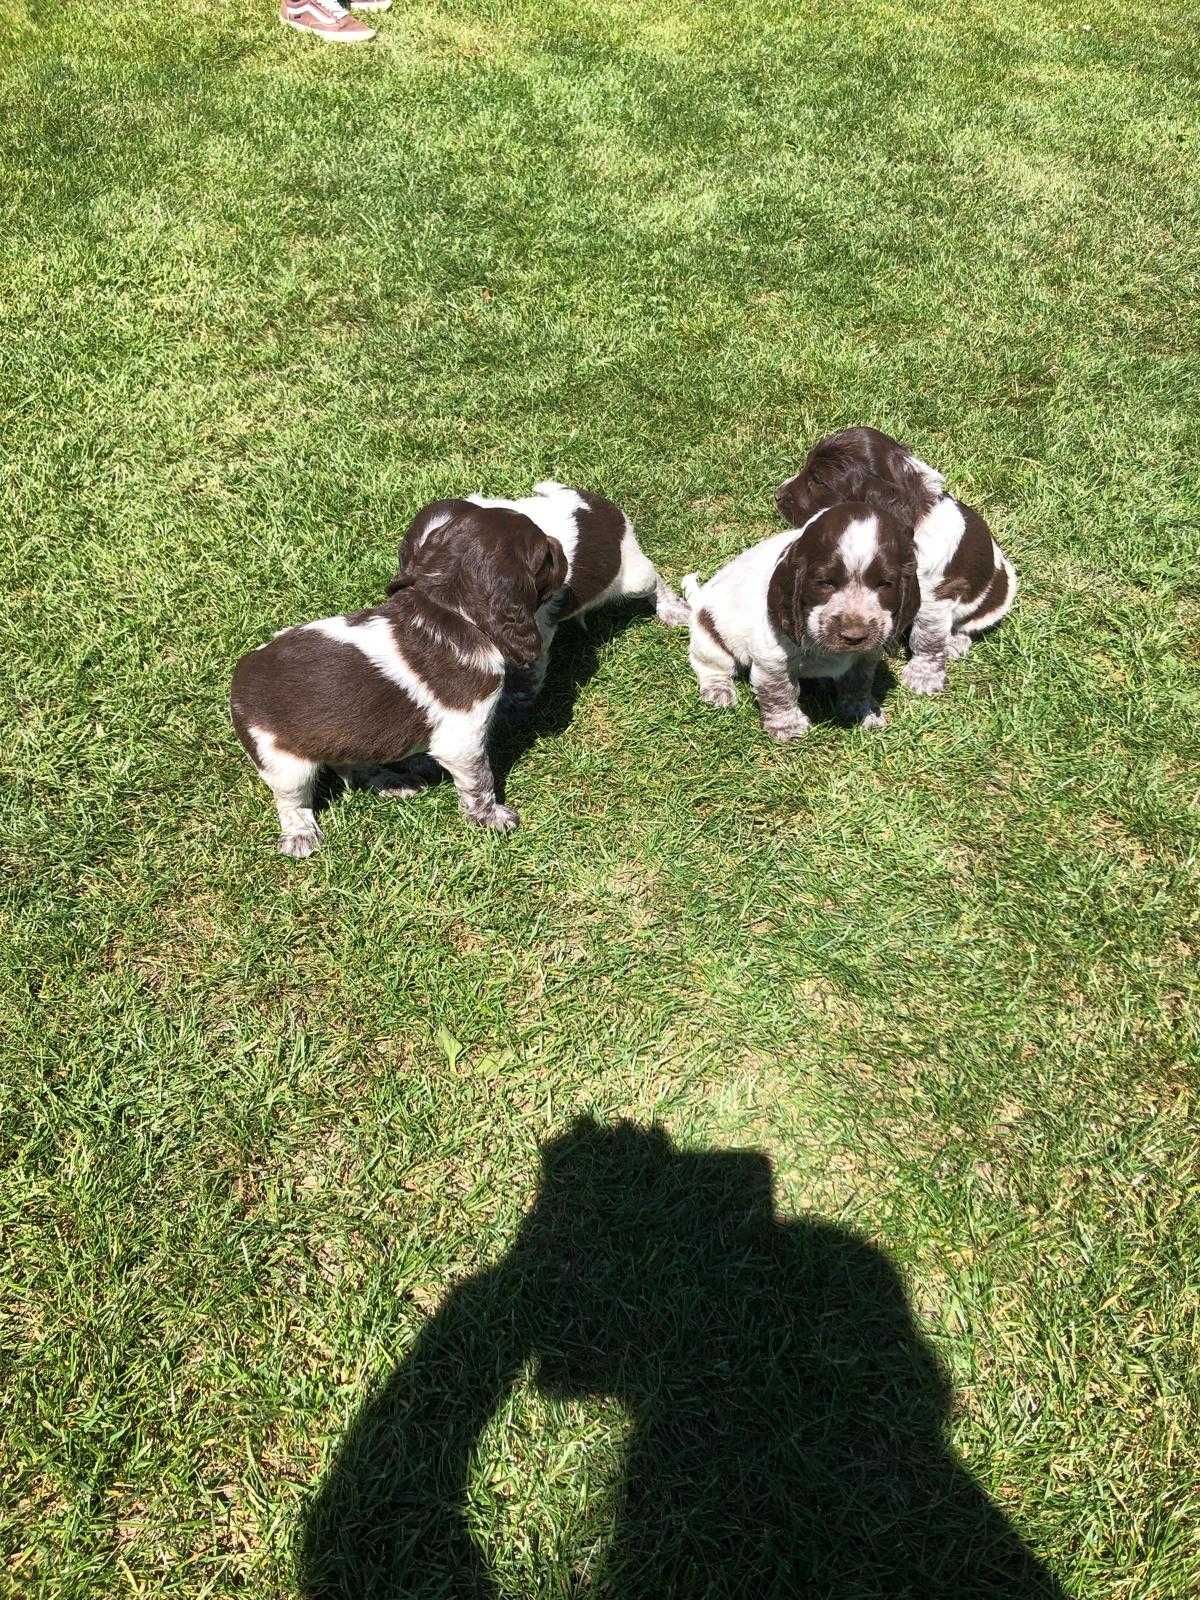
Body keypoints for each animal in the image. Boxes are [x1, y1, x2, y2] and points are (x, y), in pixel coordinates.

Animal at [236, 502, 572, 857]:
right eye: (546, 555)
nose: (563, 549)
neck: (453, 610)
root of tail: (241, 674)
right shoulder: (462, 738)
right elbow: (480, 782)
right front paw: (492, 818)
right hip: (283, 762)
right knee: (292, 802)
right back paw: (300, 835)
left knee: (353, 767)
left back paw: (391, 781)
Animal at [401, 476, 691, 716]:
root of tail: (597, 502)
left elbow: (528, 669)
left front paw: (515, 701)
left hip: (635, 577)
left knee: (656, 582)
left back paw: (674, 610)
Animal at [684, 502, 921, 739]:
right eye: (824, 582)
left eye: (884, 584)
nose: (854, 636)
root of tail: (699, 598)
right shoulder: (773, 660)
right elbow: (779, 692)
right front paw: (787, 727)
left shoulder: (868, 654)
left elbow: (859, 683)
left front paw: (862, 711)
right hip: (709, 637)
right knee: (710, 665)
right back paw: (718, 690)